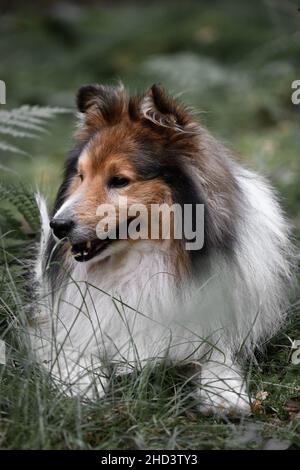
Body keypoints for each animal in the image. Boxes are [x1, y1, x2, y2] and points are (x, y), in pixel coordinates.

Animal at [29, 82, 294, 414]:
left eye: (119, 180)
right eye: (81, 176)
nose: (58, 226)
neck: (146, 258)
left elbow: (217, 356)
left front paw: (225, 394)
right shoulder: (67, 324)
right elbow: (77, 349)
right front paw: (81, 385)